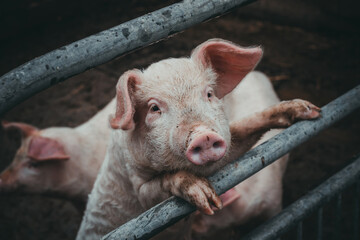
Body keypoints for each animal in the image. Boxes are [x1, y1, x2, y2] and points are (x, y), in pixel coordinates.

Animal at [76, 38, 320, 239]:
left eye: (209, 93)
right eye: (154, 108)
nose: (203, 135)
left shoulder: (228, 146)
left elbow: (244, 127)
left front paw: (307, 110)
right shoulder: (136, 185)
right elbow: (159, 186)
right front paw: (207, 198)